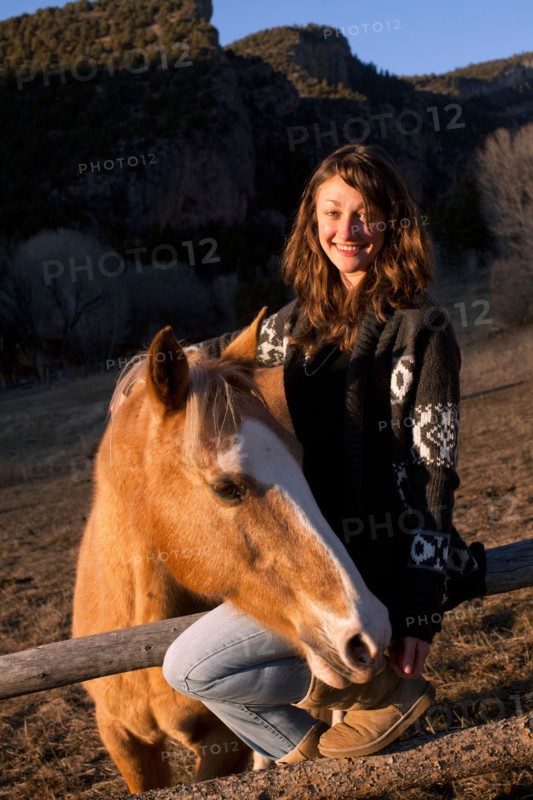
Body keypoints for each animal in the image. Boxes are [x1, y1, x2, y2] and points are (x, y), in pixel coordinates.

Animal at [72, 308, 391, 793]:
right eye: (226, 488)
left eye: (302, 462)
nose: (366, 632)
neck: (136, 641)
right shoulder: (123, 740)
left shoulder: (221, 745)